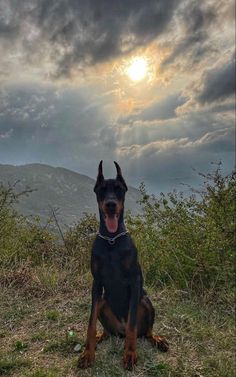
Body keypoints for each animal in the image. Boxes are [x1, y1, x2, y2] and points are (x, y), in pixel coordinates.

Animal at [77, 160, 168, 368]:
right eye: (102, 189)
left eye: (119, 189)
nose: (110, 205)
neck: (111, 240)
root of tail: (119, 330)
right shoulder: (96, 283)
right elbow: (90, 322)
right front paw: (88, 352)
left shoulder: (134, 281)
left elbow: (133, 324)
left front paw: (130, 353)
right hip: (103, 302)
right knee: (106, 330)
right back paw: (100, 338)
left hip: (146, 301)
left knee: (145, 332)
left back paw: (158, 340)